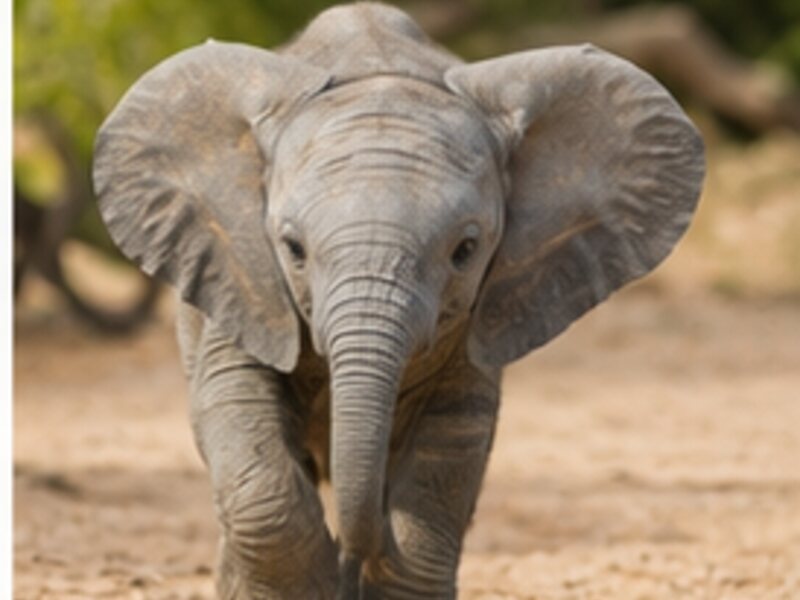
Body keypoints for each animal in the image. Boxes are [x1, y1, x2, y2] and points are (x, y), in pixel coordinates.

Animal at [93, 3, 704, 598]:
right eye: (292, 248)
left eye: (465, 250)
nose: (352, 563)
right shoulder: (244, 274)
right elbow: (240, 417)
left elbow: (450, 447)